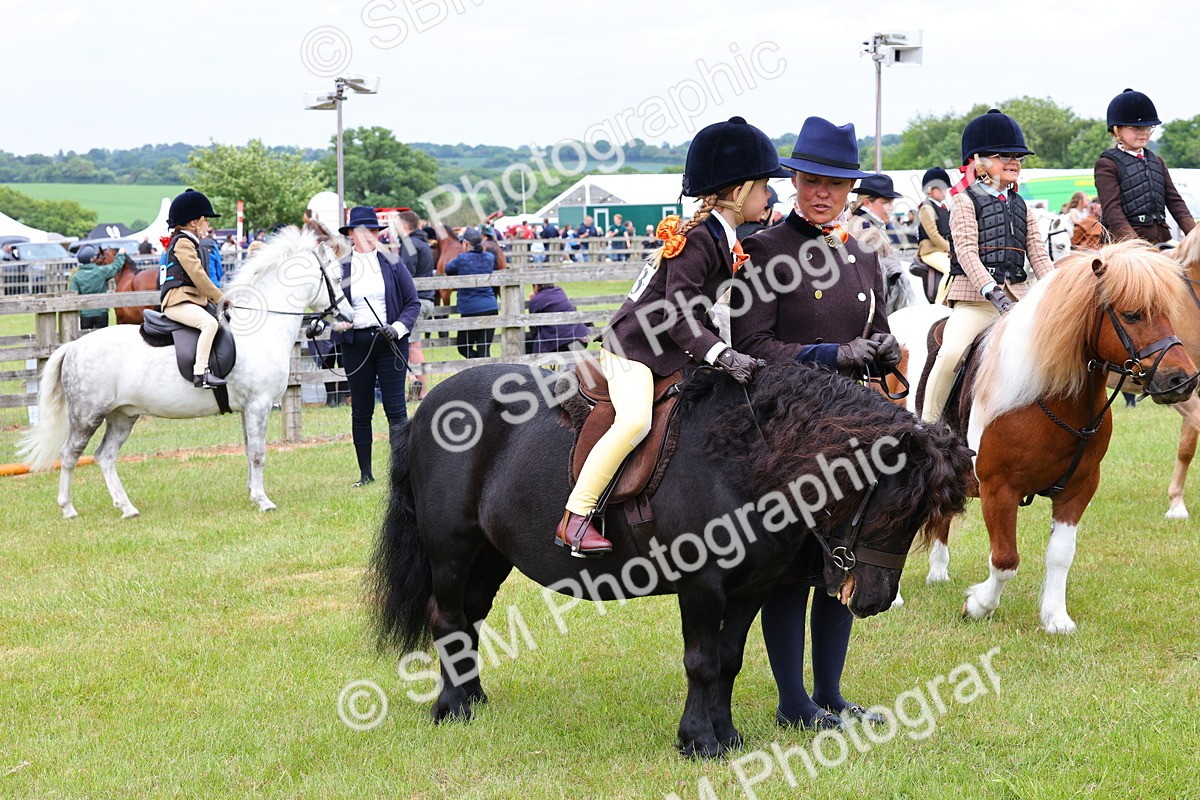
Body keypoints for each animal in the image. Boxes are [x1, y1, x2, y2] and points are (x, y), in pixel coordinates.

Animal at [18, 228, 353, 518]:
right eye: (337, 278)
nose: (348, 316)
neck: (262, 326)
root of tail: (73, 346)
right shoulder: (258, 405)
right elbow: (258, 453)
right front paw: (263, 501)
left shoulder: (248, 409)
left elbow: (249, 450)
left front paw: (252, 493)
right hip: (88, 415)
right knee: (70, 454)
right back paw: (68, 508)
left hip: (123, 415)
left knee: (105, 456)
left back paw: (127, 508)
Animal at [371, 362, 973, 757]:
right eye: (889, 506)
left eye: (917, 517)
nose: (875, 600)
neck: (740, 456)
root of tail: (427, 407)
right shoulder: (701, 585)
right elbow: (702, 661)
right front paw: (699, 741)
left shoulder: (751, 587)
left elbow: (728, 660)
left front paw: (727, 735)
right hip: (451, 551)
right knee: (447, 619)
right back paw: (453, 708)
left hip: (490, 555)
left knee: (470, 620)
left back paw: (473, 696)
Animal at [893, 241, 1198, 633]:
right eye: (1132, 315)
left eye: (1167, 311)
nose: (1183, 381)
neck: (1045, 394)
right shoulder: (998, 490)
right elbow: (1005, 559)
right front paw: (979, 605)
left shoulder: (1078, 488)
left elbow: (1061, 555)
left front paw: (1055, 617)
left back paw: (938, 573)